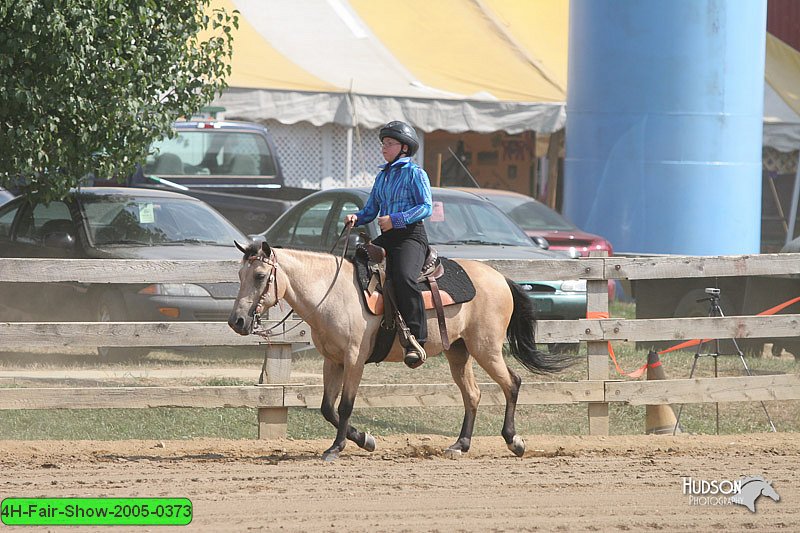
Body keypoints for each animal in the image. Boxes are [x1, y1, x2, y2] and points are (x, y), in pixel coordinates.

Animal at [230, 239, 576, 460]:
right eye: (239, 275)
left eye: (260, 276)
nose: (237, 320)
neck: (333, 293)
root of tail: (500, 277)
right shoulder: (333, 361)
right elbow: (328, 408)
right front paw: (366, 440)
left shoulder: (354, 359)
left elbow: (345, 405)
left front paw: (336, 449)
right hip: (459, 351)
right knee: (473, 394)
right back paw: (460, 445)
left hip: (486, 347)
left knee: (512, 383)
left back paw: (514, 441)